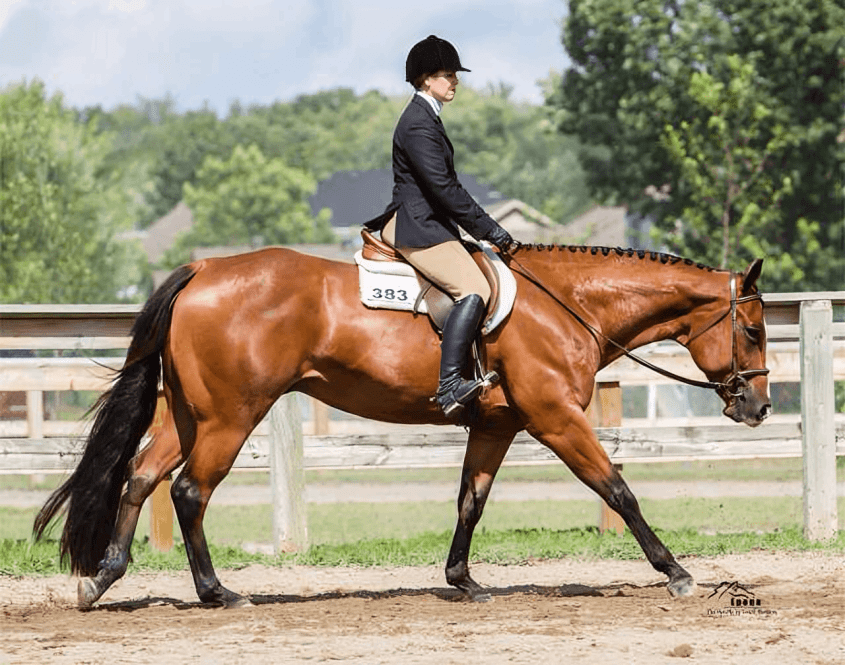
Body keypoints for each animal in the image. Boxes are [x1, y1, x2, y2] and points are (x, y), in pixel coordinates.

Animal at [34, 243, 770, 608]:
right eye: (755, 330)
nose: (757, 407)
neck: (565, 304)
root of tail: (204, 269)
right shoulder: (556, 419)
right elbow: (618, 489)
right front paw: (676, 571)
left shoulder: (498, 425)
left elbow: (471, 500)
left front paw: (463, 581)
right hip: (231, 415)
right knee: (189, 491)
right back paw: (217, 593)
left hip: (191, 414)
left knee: (140, 475)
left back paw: (104, 576)